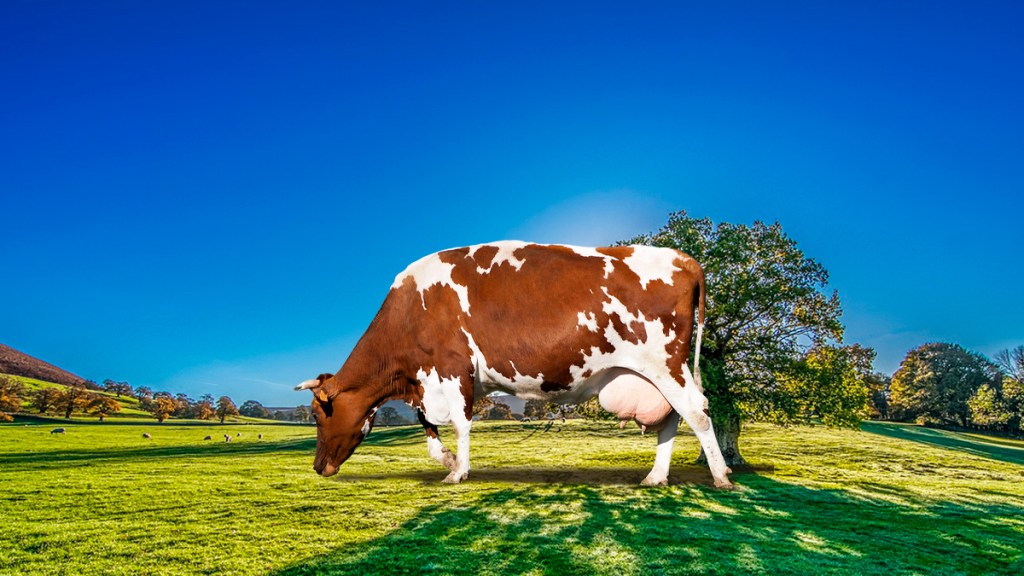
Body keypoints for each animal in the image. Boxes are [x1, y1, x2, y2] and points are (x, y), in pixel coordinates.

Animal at [296, 241, 733, 488]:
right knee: (673, 417)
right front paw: (449, 460)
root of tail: (682, 259)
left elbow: (459, 424)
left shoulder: (453, 368)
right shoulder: (428, 382)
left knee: (696, 411)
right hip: (657, 375)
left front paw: (458, 471)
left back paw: (720, 477)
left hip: (664, 363)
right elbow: (429, 431)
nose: (316, 467)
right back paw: (656, 477)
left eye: (318, 414)